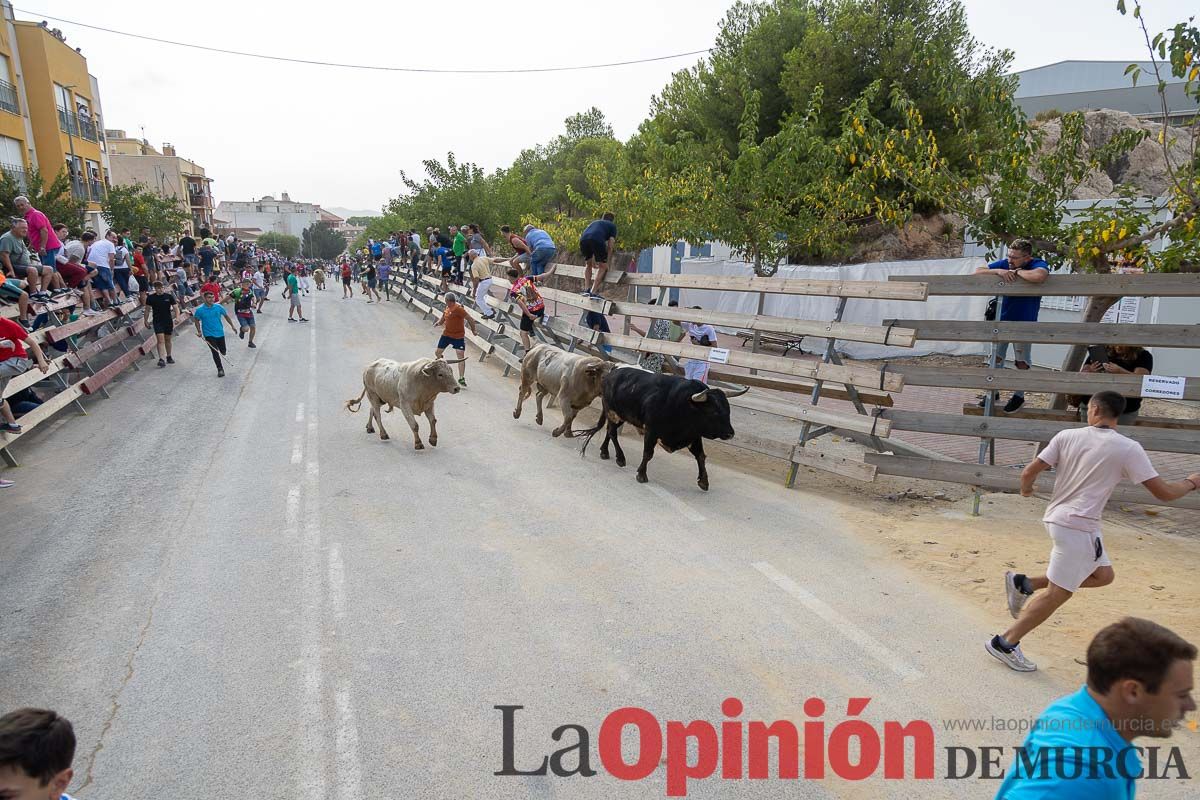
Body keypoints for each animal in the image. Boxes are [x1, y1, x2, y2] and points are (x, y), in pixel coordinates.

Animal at [576, 367, 744, 491]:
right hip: (613, 412)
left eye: (728, 410)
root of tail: (612, 373)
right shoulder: (651, 431)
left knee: (609, 432)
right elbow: (648, 453)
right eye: (714, 411)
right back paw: (620, 458)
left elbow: (701, 456)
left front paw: (704, 482)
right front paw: (641, 475)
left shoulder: (694, 436)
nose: (730, 433)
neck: (684, 405)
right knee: (612, 433)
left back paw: (605, 452)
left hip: (617, 416)